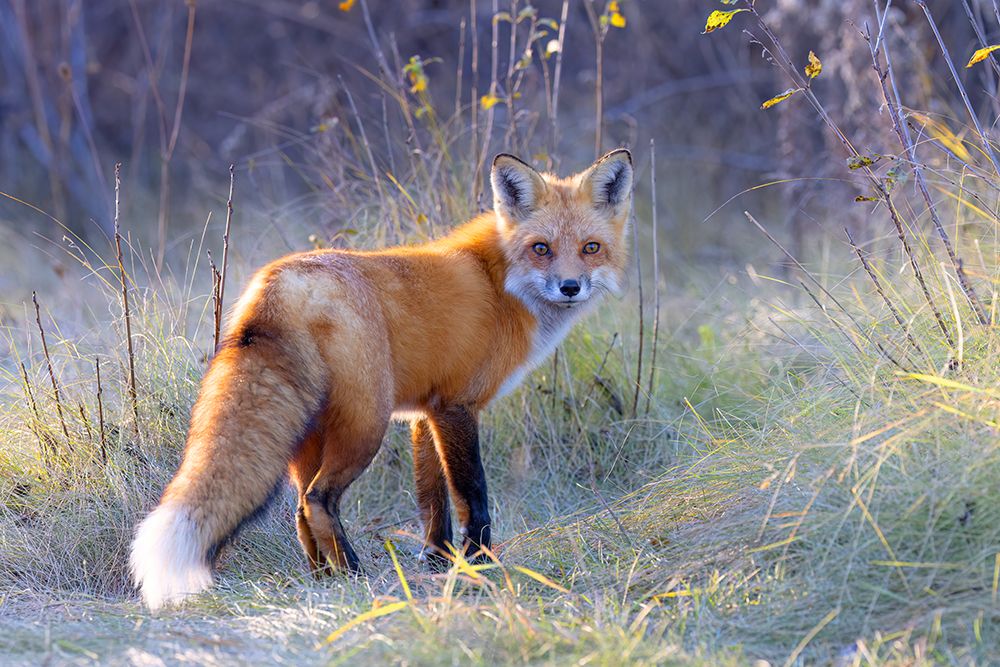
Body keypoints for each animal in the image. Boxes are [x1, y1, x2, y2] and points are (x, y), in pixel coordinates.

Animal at [129, 149, 634, 610]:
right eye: (541, 248)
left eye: (590, 248)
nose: (570, 287)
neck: (499, 283)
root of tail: (278, 282)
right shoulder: (457, 406)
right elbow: (472, 494)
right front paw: (481, 564)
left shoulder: (426, 413)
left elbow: (432, 498)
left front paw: (436, 561)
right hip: (365, 425)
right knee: (318, 499)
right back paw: (354, 575)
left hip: (309, 433)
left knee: (299, 509)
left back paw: (321, 579)